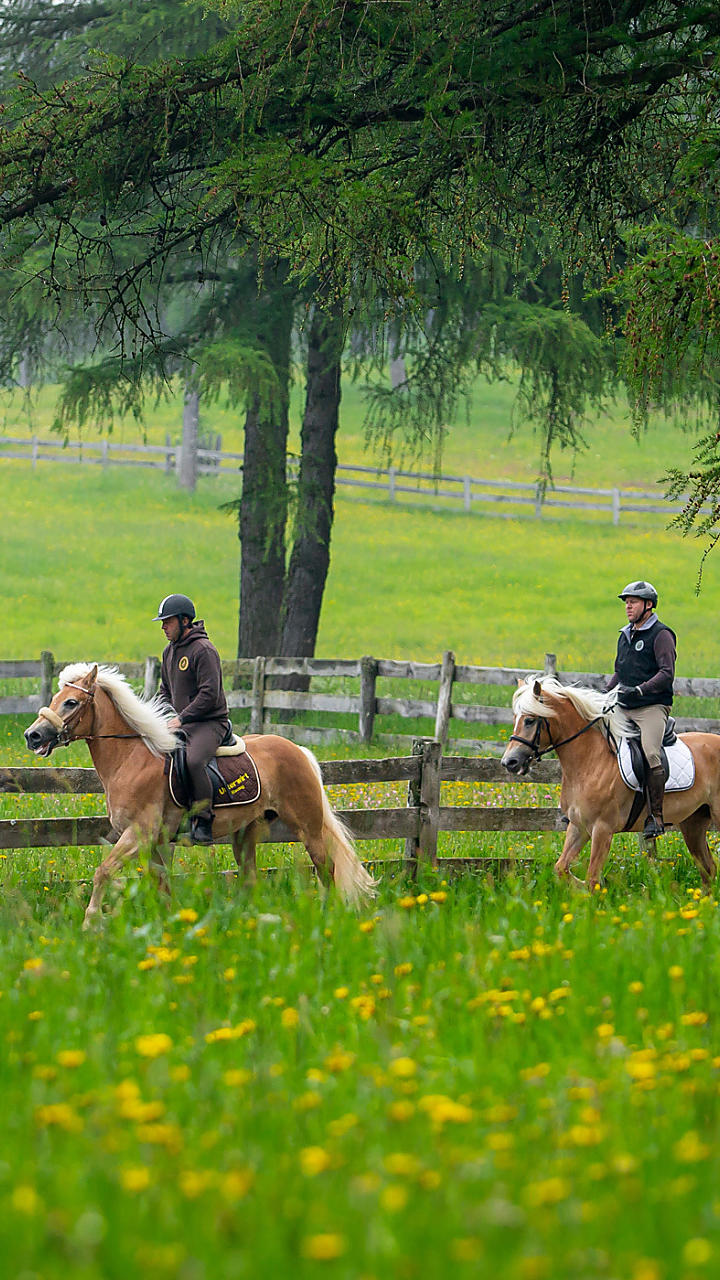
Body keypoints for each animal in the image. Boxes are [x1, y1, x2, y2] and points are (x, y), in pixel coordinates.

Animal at [22, 665, 376, 926]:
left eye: (70, 702)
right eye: (56, 697)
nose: (32, 735)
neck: (131, 758)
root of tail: (298, 750)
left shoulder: (138, 835)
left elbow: (103, 871)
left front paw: (90, 921)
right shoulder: (156, 843)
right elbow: (161, 886)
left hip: (308, 827)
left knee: (326, 869)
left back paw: (327, 915)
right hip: (245, 833)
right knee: (251, 877)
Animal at [499, 680, 717, 890]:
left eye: (529, 720)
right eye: (515, 718)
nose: (509, 762)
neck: (591, 760)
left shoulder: (602, 829)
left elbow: (592, 879)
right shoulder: (579, 826)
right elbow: (561, 868)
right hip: (693, 823)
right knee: (708, 869)